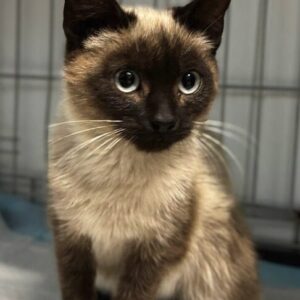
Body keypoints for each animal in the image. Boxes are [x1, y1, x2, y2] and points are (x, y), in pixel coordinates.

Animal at [48, 0, 260, 300]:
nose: (164, 122)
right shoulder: (72, 241)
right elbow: (76, 290)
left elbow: (133, 293)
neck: (119, 172)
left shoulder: (154, 253)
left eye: (189, 82)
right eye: (126, 80)